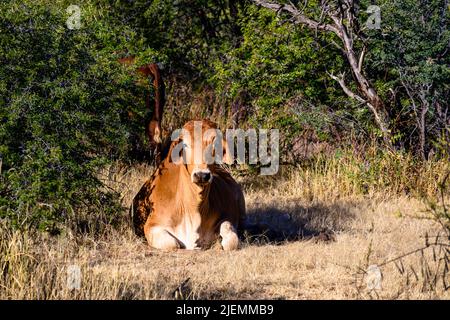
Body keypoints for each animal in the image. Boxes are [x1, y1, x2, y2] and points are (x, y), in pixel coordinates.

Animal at [131, 119, 246, 250]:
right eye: (185, 144)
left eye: (215, 143)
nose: (202, 175)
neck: (193, 208)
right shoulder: (152, 225)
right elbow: (173, 244)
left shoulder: (227, 218)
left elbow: (231, 240)